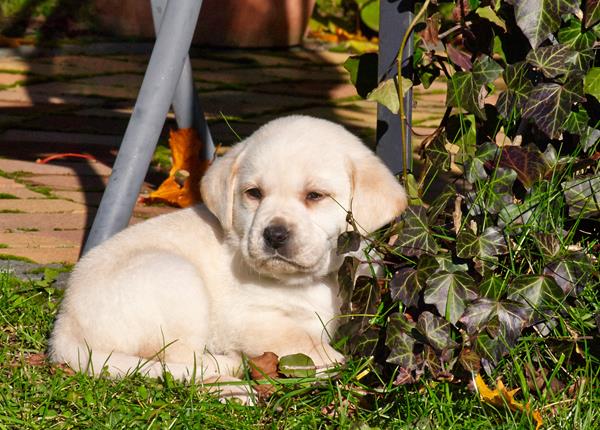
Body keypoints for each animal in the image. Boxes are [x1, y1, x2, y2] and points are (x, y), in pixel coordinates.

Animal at [48, 115, 408, 382]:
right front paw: (329, 358)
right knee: (181, 361)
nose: (274, 235)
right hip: (176, 278)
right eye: (254, 193)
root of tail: (64, 329)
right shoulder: (243, 318)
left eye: (315, 196)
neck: (310, 281)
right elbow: (296, 337)